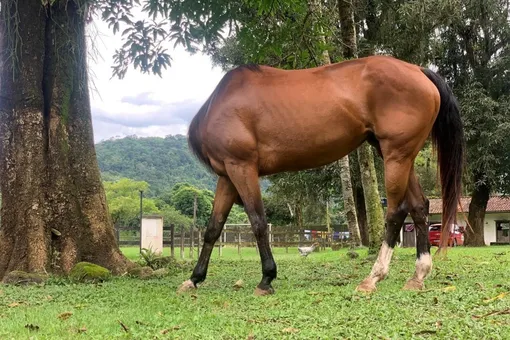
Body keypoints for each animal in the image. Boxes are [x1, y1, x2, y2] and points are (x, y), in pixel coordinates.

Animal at [177, 55, 464, 294]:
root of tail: (417, 70)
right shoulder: (227, 174)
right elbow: (213, 227)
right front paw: (194, 278)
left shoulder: (242, 167)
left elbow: (258, 222)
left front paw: (267, 278)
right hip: (401, 157)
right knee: (418, 206)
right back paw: (418, 275)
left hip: (396, 156)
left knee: (395, 211)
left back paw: (373, 278)